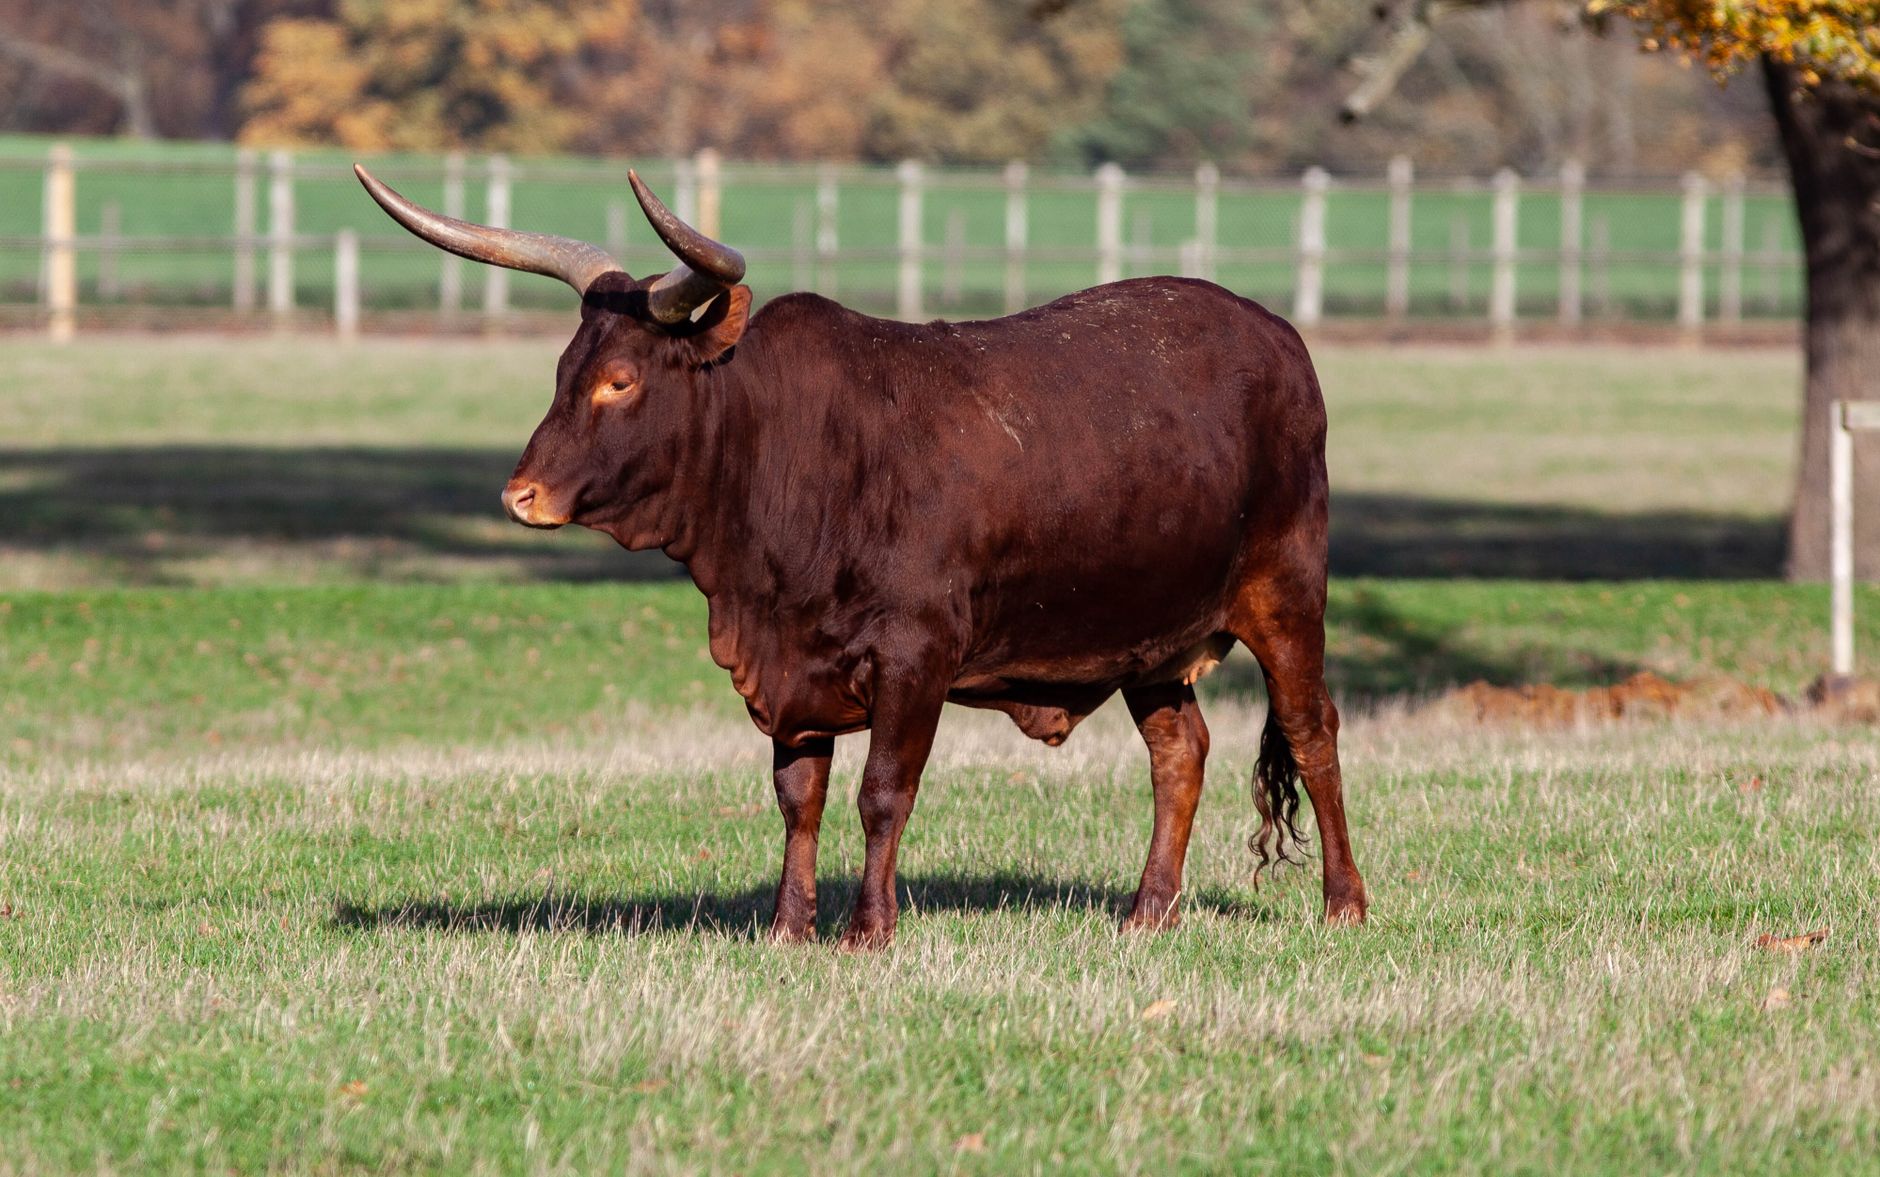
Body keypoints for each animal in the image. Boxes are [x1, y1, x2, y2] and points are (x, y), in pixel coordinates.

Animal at [355, 163, 1367, 949]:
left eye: (620, 381)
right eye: (565, 370)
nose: (521, 495)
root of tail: (1277, 334)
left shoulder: (916, 656)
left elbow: (884, 790)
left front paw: (868, 929)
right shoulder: (790, 668)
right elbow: (797, 796)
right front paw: (786, 926)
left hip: (1286, 590)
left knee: (1312, 731)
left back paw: (1344, 903)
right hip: (1148, 638)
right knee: (1180, 751)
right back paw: (1147, 912)